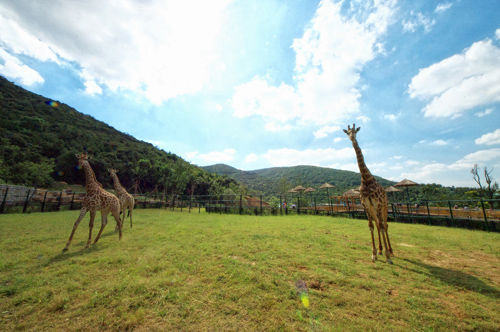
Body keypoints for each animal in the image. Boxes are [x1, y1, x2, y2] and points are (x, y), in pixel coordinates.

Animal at [344, 124, 394, 264]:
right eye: (347, 133)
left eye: (355, 131)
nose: (352, 138)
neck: (366, 179)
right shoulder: (366, 205)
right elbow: (371, 226)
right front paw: (374, 254)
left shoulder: (378, 203)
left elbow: (381, 226)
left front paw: (388, 257)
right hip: (374, 209)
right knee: (378, 224)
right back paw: (381, 250)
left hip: (384, 206)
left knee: (384, 225)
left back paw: (391, 252)